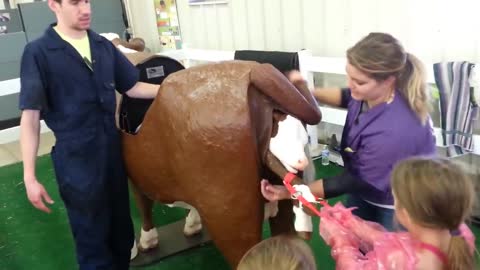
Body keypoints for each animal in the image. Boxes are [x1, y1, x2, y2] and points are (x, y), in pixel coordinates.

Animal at [122, 60, 320, 266]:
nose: (301, 161)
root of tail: (256, 70)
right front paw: (193, 225)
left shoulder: (134, 175)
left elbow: (143, 203)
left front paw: (147, 241)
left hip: (229, 214)